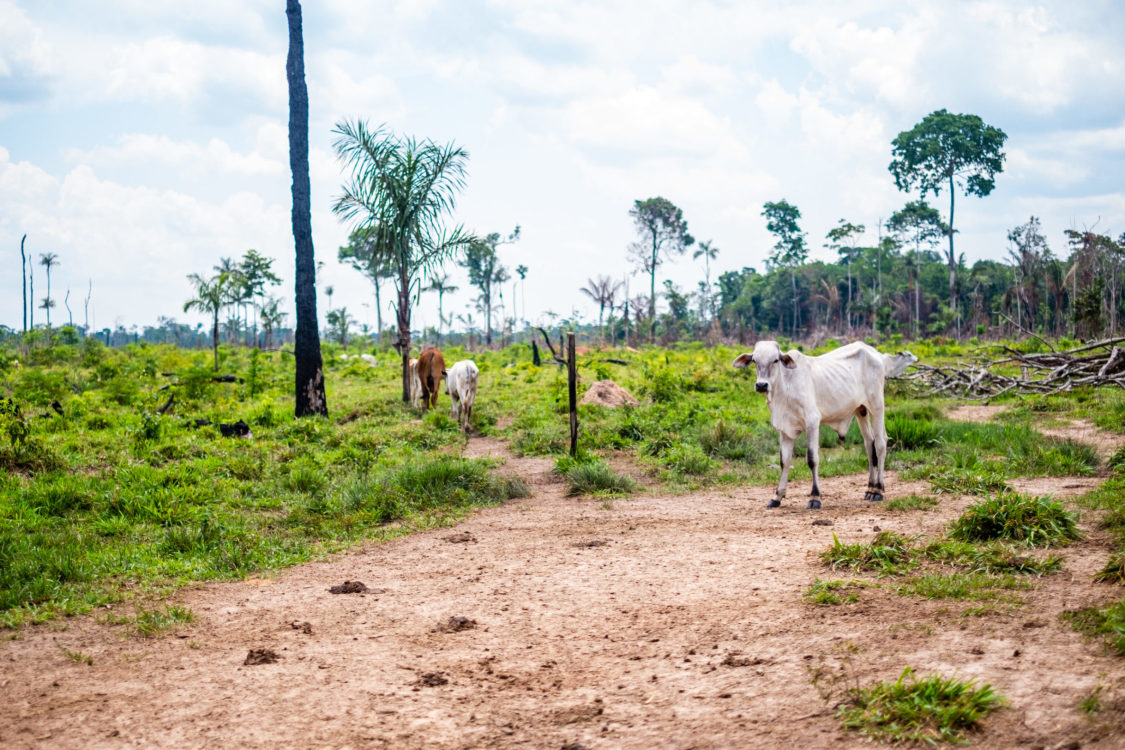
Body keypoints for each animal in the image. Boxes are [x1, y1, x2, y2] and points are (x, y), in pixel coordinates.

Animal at [738, 341, 913, 510]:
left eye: (775, 360)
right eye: (754, 360)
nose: (761, 385)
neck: (786, 385)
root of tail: (877, 354)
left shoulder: (812, 422)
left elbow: (812, 459)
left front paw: (815, 498)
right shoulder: (785, 429)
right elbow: (784, 462)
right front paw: (777, 497)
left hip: (877, 406)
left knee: (880, 443)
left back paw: (878, 490)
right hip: (861, 410)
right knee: (869, 444)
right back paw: (870, 488)